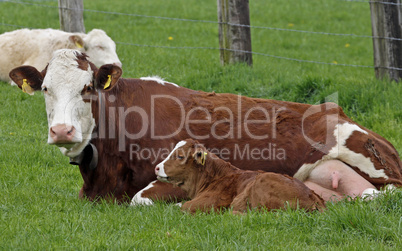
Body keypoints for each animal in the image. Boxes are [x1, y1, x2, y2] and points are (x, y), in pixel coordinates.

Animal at [8, 48, 402, 204]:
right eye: (46, 89)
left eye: (88, 88)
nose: (62, 131)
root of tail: (334, 108)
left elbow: (140, 198)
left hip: (366, 155)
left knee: (387, 194)